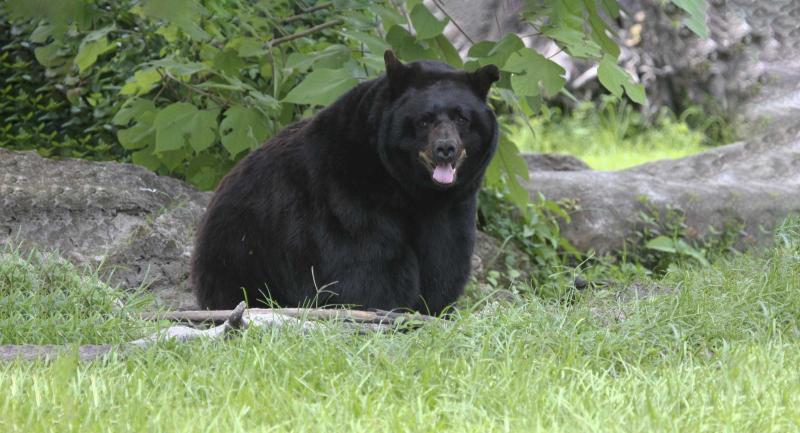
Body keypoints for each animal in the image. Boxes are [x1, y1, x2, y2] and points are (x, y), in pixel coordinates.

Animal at [191, 51, 496, 314]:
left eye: (462, 117)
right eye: (423, 120)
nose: (446, 148)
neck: (410, 189)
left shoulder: (454, 207)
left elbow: (444, 261)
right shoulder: (347, 194)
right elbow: (367, 268)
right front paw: (384, 305)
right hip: (242, 253)